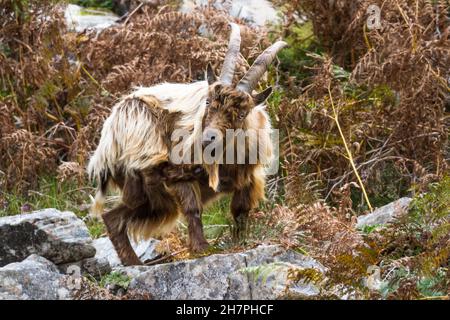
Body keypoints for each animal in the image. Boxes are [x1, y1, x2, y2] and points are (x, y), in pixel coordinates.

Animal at [86, 23, 286, 264]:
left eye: (241, 114)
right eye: (207, 102)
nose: (208, 139)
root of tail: (105, 145)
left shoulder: (249, 177)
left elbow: (240, 210)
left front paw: (240, 242)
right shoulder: (179, 174)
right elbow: (193, 209)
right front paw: (201, 249)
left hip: (151, 201)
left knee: (113, 217)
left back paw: (133, 263)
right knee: (116, 214)